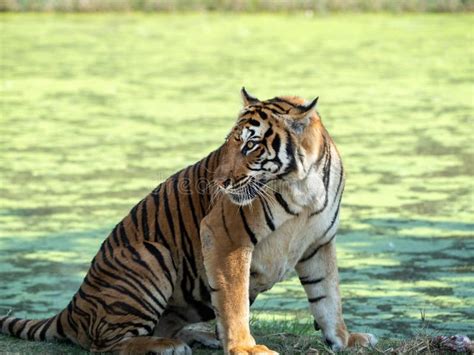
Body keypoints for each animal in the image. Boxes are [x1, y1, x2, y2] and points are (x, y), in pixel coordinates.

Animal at [0, 88, 378, 354]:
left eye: (251, 145)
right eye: (230, 144)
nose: (220, 183)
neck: (302, 185)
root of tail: (73, 306)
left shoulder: (318, 243)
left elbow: (328, 298)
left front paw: (345, 339)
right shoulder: (226, 237)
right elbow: (234, 301)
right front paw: (245, 348)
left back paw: (198, 337)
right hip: (151, 255)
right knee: (105, 343)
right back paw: (165, 346)